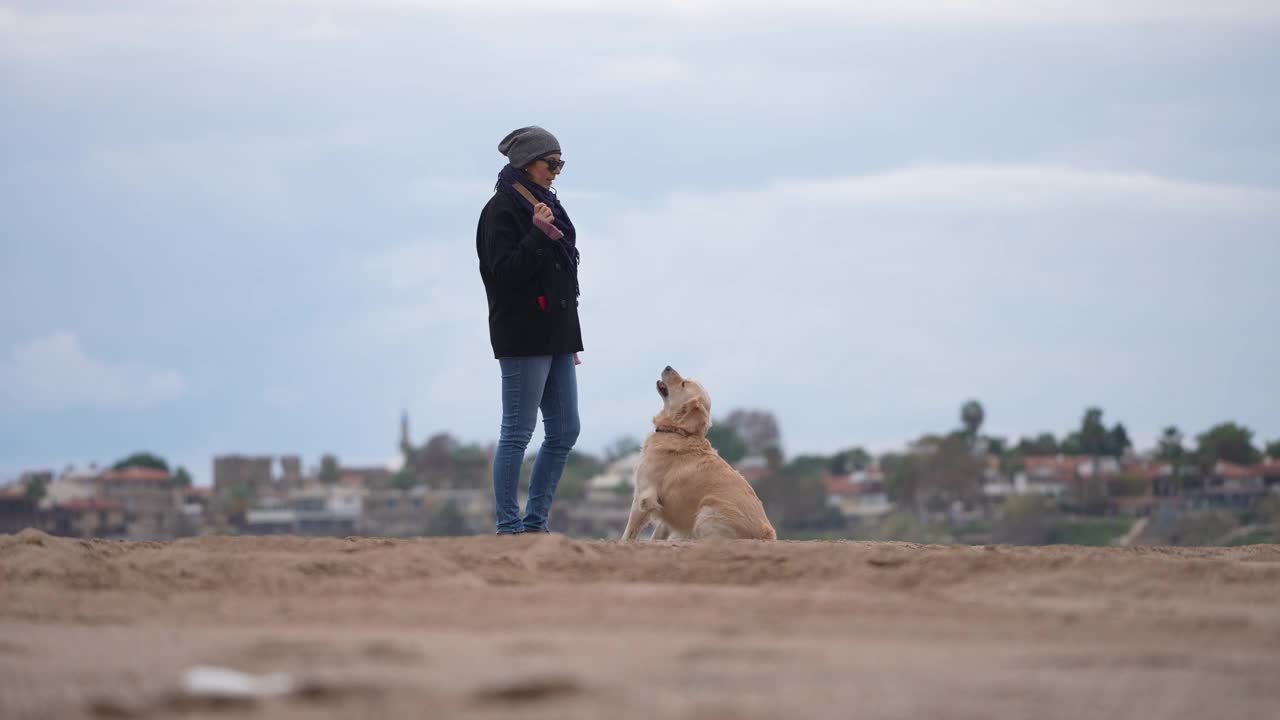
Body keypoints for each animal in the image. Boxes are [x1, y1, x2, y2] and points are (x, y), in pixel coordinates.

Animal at [622, 363, 778, 538]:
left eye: (683, 384)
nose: (668, 366)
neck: (678, 432)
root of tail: (767, 535)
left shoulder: (644, 495)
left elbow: (628, 533)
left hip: (707, 512)